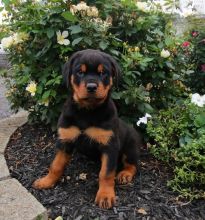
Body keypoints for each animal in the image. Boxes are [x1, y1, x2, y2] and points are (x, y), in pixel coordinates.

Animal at [32, 49, 142, 209]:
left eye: (103, 73)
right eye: (80, 72)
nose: (91, 87)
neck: (87, 111)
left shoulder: (110, 146)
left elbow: (106, 173)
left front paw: (105, 195)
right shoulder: (64, 140)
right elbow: (56, 165)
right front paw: (47, 181)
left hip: (130, 148)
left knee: (133, 165)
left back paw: (124, 174)